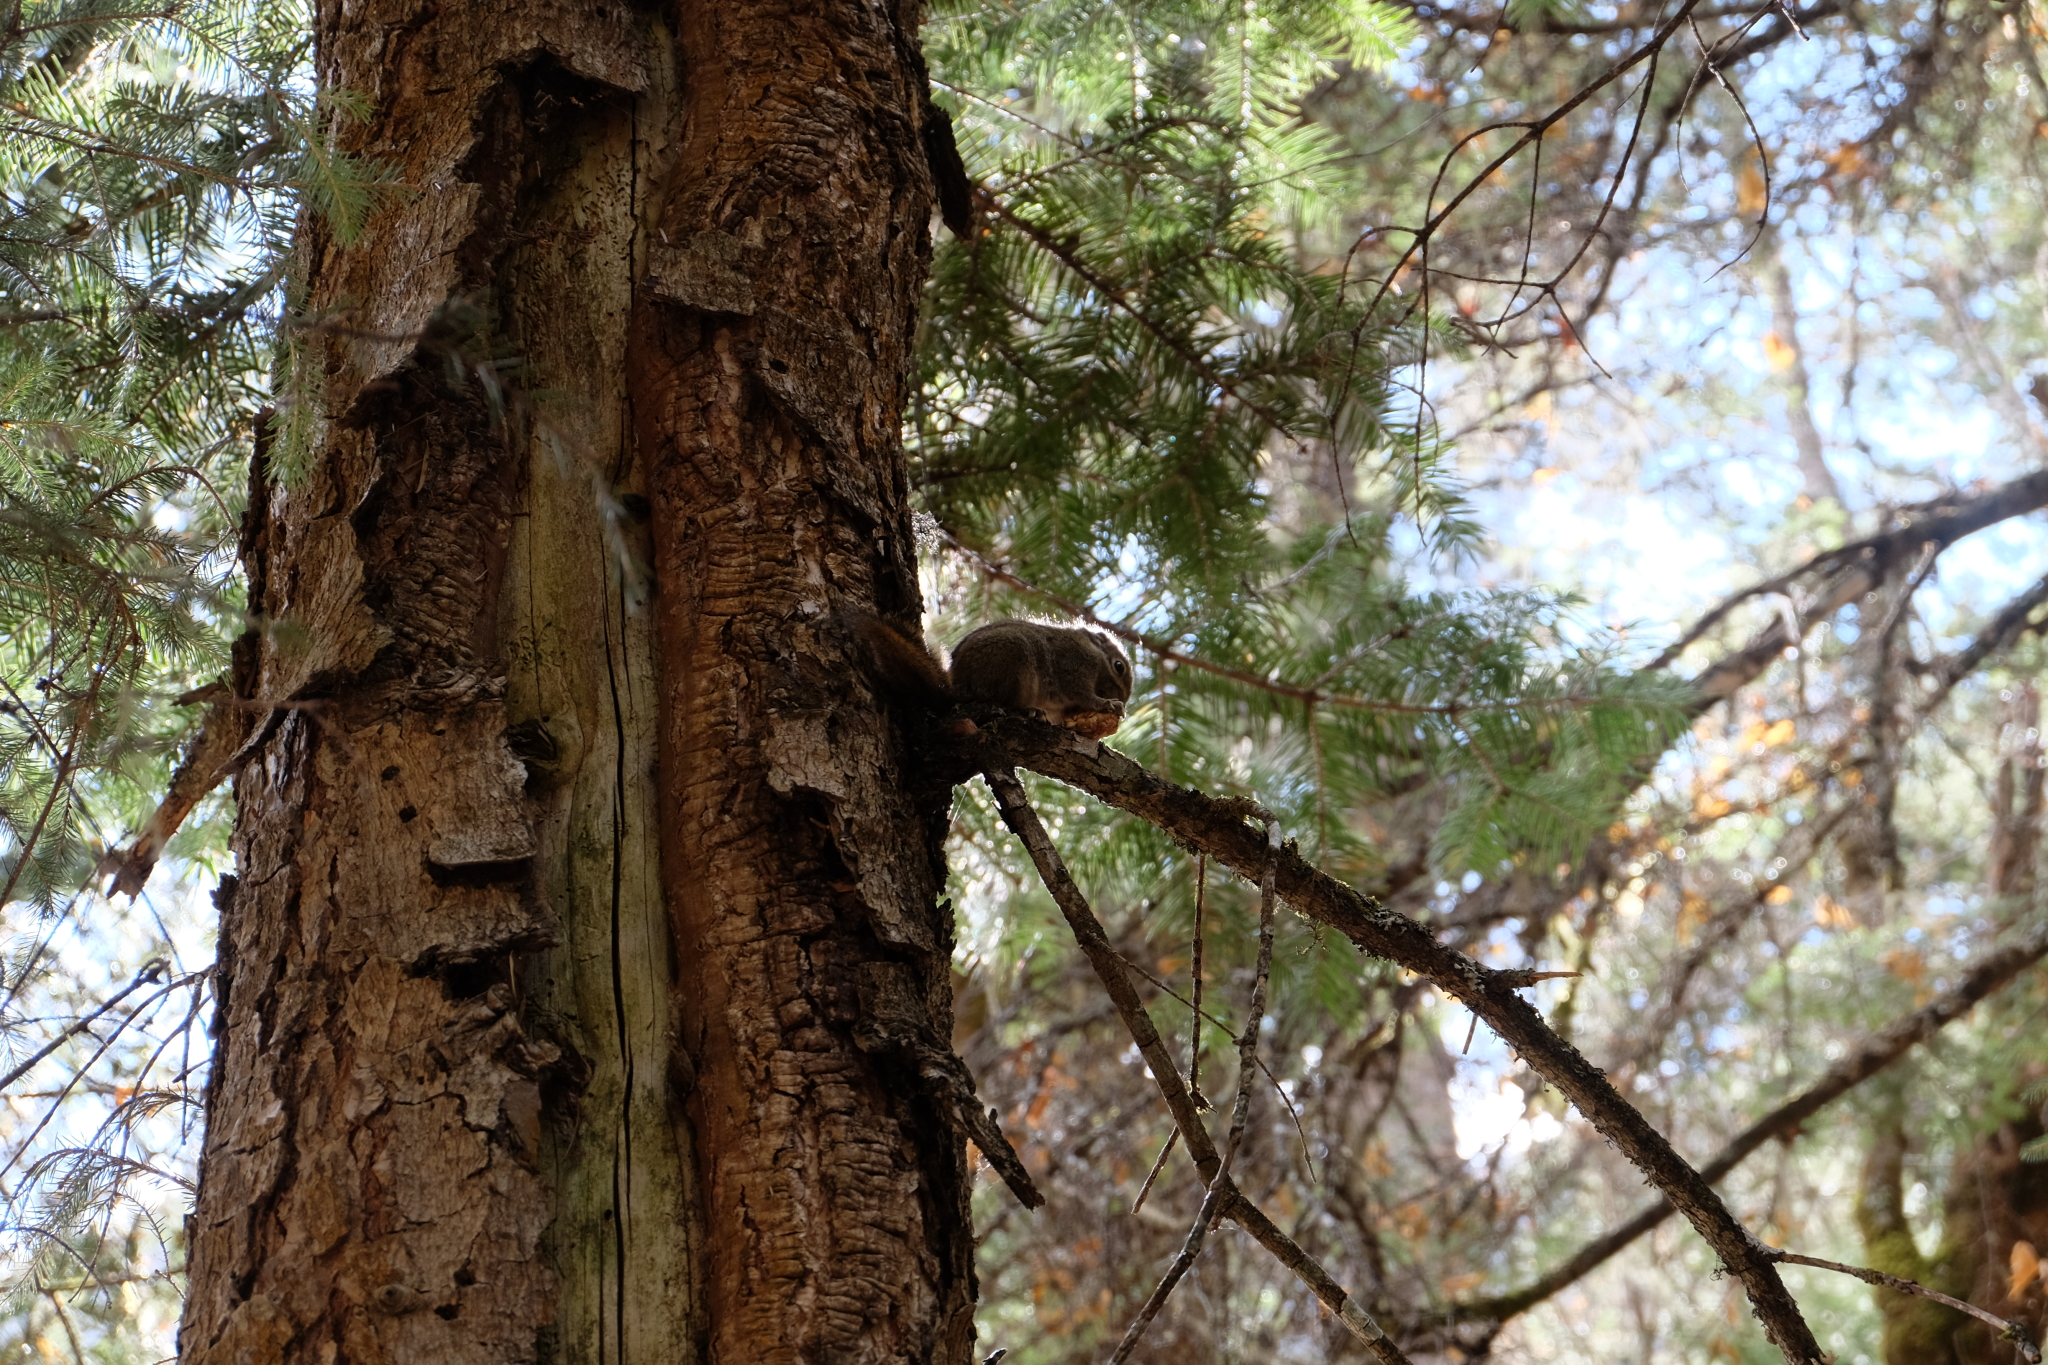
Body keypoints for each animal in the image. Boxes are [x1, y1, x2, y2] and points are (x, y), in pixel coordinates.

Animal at [847, 613, 1138, 736]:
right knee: (1003, 701)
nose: (1122, 698)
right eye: (1119, 666)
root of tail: (958, 688)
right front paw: (1108, 704)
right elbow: (1084, 694)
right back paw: (1030, 711)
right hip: (1012, 661)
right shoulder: (1074, 665)